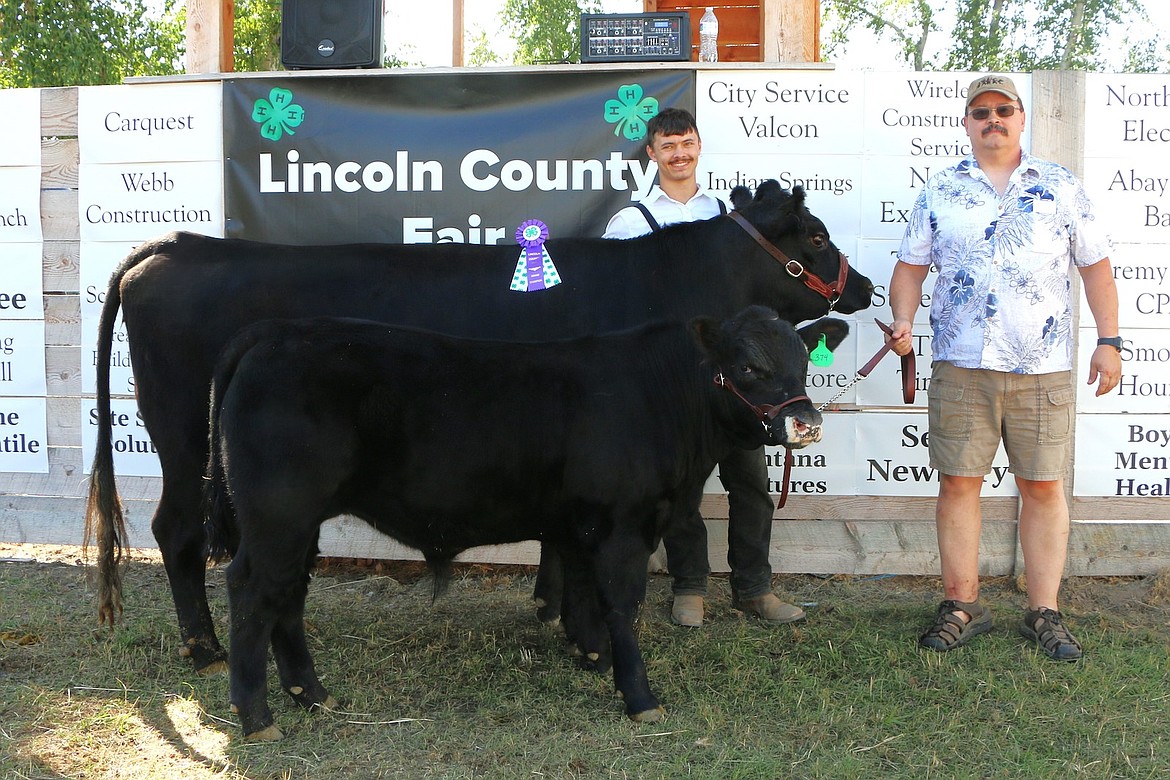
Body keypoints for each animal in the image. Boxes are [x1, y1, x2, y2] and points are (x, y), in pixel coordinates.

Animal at [86, 178, 875, 673]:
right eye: (815, 234)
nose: (864, 286)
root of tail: (175, 245)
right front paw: (567, 617)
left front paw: (550, 607)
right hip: (181, 433)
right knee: (175, 530)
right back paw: (203, 647)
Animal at [205, 306, 847, 739]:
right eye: (749, 365)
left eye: (802, 363)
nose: (809, 423)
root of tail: (275, 331)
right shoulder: (624, 526)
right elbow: (623, 603)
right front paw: (638, 695)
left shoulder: (582, 524)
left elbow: (585, 596)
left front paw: (592, 656)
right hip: (277, 514)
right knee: (252, 589)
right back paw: (257, 715)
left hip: (298, 522)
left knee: (288, 592)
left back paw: (312, 695)